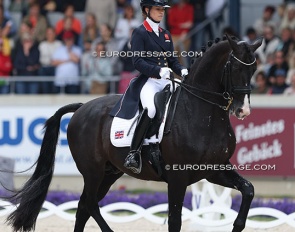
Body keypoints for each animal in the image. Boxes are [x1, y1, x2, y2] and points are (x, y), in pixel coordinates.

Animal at [5, 35, 262, 232]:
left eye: (254, 69)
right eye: (236, 68)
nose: (243, 110)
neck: (201, 112)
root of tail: (82, 108)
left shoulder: (214, 171)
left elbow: (249, 190)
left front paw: (237, 224)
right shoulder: (178, 177)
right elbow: (175, 221)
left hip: (110, 172)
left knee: (83, 207)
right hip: (92, 170)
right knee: (90, 204)